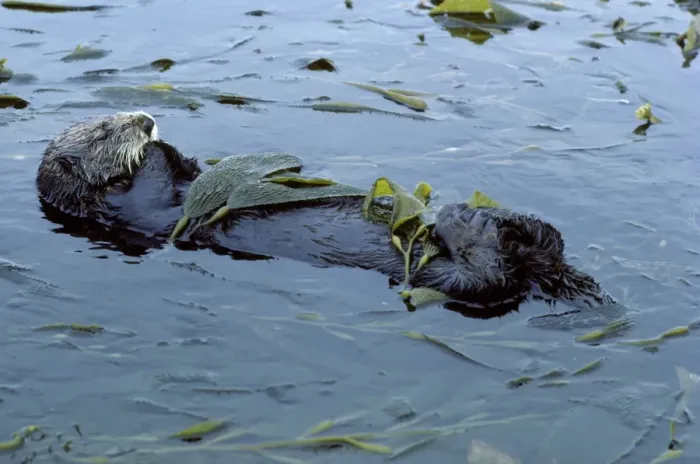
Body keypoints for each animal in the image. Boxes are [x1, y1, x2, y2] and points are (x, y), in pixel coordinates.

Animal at [35, 111, 618, 319]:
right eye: (105, 131)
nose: (144, 118)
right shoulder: (133, 210)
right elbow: (152, 186)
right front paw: (152, 146)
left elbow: (193, 169)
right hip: (450, 280)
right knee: (490, 274)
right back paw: (465, 222)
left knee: (542, 243)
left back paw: (498, 217)